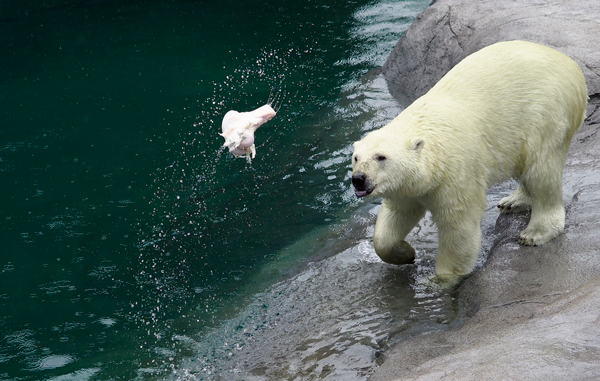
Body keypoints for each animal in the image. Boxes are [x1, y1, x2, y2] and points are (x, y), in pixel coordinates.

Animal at [352, 40, 584, 280]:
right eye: (356, 158)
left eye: (381, 157)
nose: (358, 179)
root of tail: (570, 65)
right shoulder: (406, 187)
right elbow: (398, 215)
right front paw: (406, 254)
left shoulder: (455, 173)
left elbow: (459, 227)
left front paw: (442, 280)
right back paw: (513, 201)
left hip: (546, 114)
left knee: (542, 171)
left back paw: (535, 233)